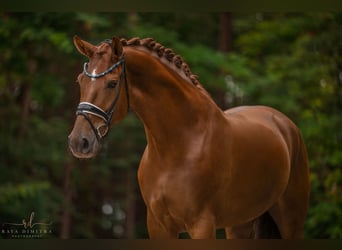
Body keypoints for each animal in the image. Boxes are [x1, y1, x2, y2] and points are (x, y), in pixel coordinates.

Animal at [67, 36, 310, 239]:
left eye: (112, 83)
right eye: (80, 81)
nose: (79, 141)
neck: (179, 145)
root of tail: (284, 123)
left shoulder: (201, 225)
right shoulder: (158, 226)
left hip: (291, 220)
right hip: (239, 223)